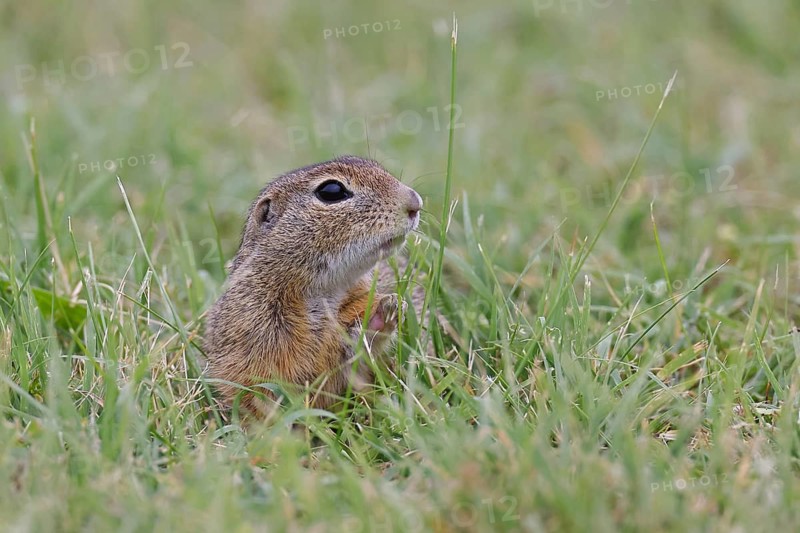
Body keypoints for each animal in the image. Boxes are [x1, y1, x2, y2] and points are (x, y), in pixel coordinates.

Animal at [204, 156, 423, 417]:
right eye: (331, 191)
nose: (415, 202)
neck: (322, 291)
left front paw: (387, 309)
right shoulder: (249, 335)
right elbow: (253, 391)